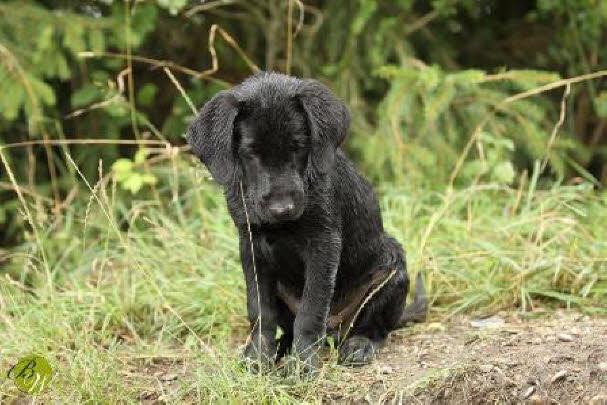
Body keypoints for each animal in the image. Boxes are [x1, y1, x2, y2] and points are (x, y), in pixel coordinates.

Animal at [188, 72, 426, 370]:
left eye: (299, 146)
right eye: (251, 153)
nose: (282, 208)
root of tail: (335, 331)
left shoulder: (323, 243)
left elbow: (311, 310)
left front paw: (303, 365)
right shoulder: (250, 245)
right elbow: (259, 309)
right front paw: (257, 357)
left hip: (392, 271)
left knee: (375, 328)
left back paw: (357, 346)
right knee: (290, 327)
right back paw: (283, 347)